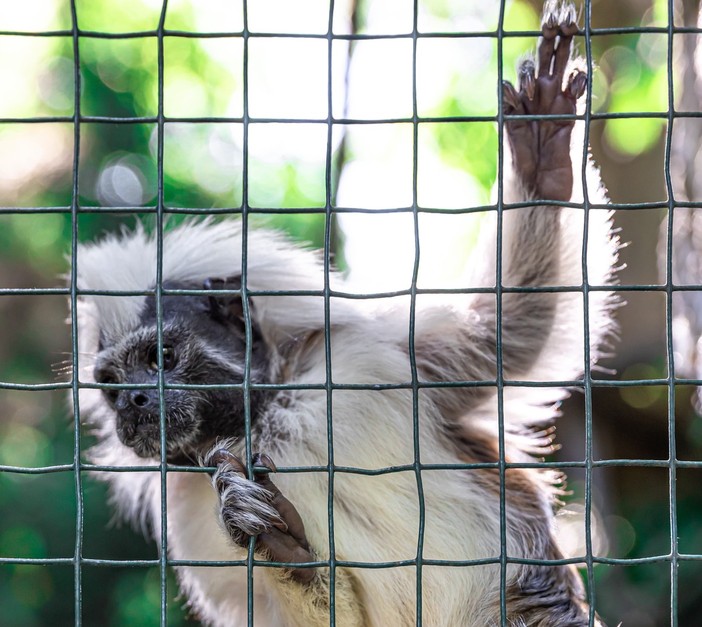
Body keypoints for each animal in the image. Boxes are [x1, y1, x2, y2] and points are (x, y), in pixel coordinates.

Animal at [71, 2, 620, 624]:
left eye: (161, 356)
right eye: (113, 386)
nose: (135, 402)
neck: (262, 421)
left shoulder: (371, 361)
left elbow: (511, 330)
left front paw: (541, 158)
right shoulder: (189, 516)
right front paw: (283, 550)